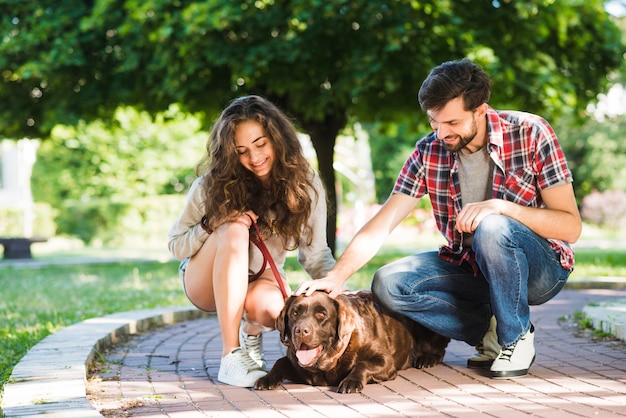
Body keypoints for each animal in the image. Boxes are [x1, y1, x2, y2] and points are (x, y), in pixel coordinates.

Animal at [254, 290, 448, 392]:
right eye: (295, 313)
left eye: (321, 314)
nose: (301, 330)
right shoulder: (296, 364)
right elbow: (280, 362)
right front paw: (267, 379)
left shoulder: (385, 361)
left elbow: (362, 364)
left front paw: (351, 381)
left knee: (440, 350)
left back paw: (425, 359)